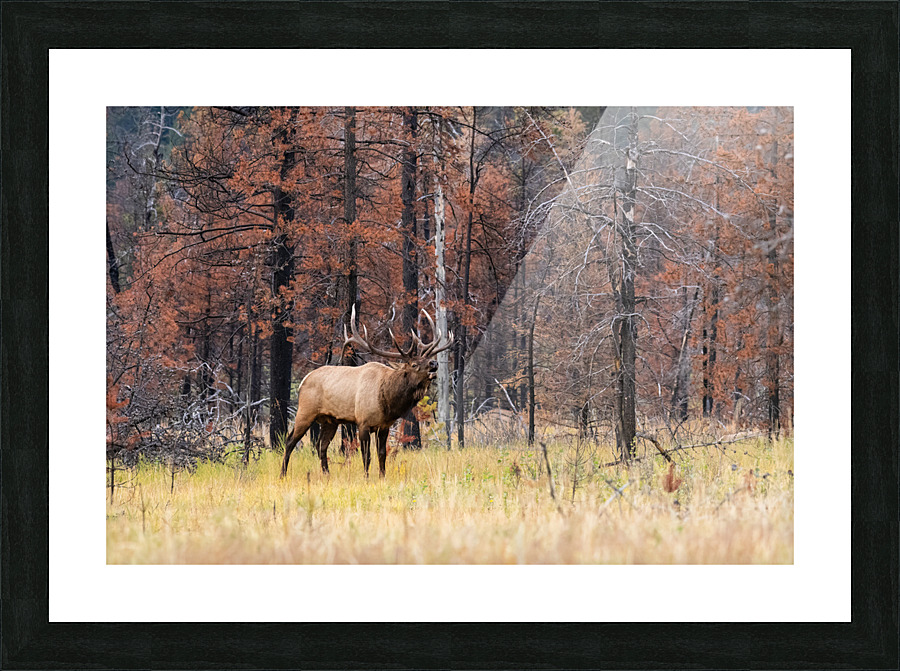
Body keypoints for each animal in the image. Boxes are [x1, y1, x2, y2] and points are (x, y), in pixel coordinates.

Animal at [280, 306, 453, 478]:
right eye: (414, 364)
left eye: (427, 359)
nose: (434, 363)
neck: (387, 403)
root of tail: (303, 381)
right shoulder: (363, 422)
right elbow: (366, 455)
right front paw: (367, 477)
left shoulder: (385, 426)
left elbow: (382, 454)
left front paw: (382, 477)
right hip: (305, 411)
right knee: (290, 441)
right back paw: (283, 474)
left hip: (330, 420)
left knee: (321, 445)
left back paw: (327, 474)